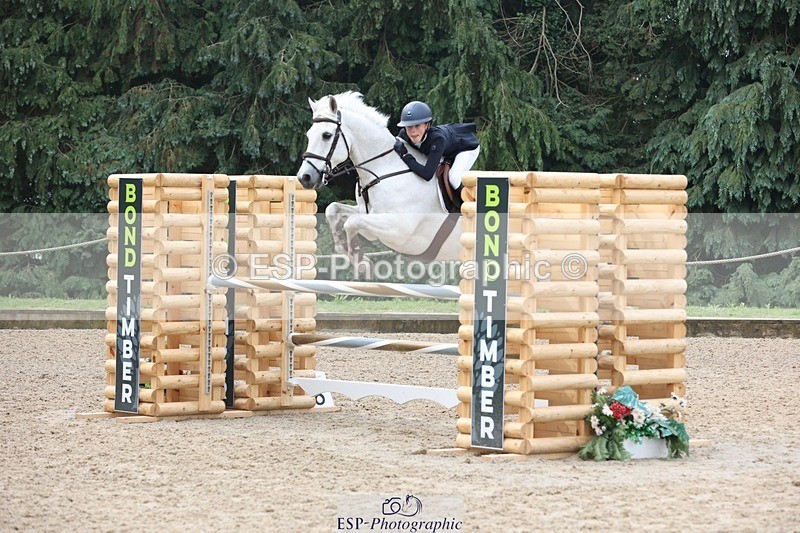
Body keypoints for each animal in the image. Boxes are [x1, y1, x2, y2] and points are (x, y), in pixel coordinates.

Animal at [295, 92, 462, 266]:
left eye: (326, 135)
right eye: (309, 135)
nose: (304, 177)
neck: (384, 168)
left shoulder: (400, 229)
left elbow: (351, 222)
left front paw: (359, 259)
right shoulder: (367, 216)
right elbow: (333, 210)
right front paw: (343, 247)